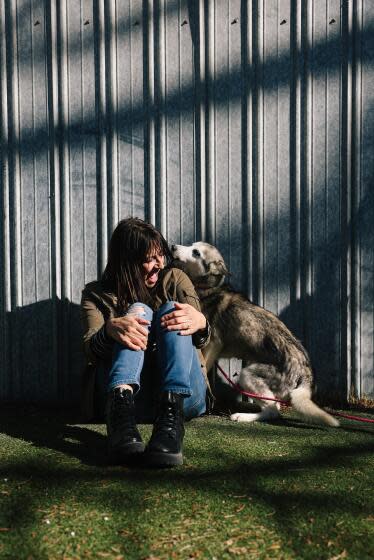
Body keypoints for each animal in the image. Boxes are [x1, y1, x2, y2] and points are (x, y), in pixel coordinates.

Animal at [172, 242, 338, 428]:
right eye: (192, 246)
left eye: (196, 253)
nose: (173, 247)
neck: (209, 288)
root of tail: (306, 369)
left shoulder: (212, 343)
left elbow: (204, 369)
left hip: (247, 376)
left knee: (273, 411)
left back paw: (242, 416)